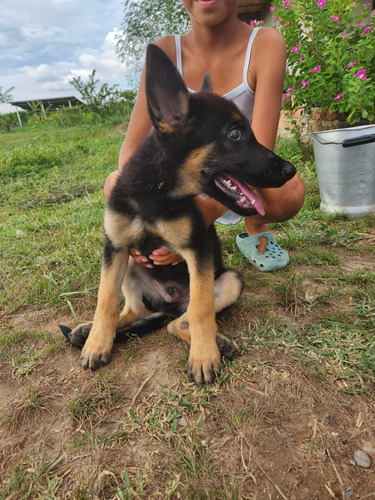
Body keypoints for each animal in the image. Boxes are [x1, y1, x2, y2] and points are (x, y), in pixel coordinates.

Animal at [62, 45, 296, 384]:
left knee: (180, 322)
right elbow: (105, 300)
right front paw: (96, 344)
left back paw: (215, 343)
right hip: (130, 264)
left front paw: (204, 356)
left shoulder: (197, 250)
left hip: (229, 280)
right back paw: (88, 330)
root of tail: (169, 303)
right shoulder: (115, 247)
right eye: (235, 134)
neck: (155, 191)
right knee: (134, 311)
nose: (291, 170)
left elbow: (201, 309)